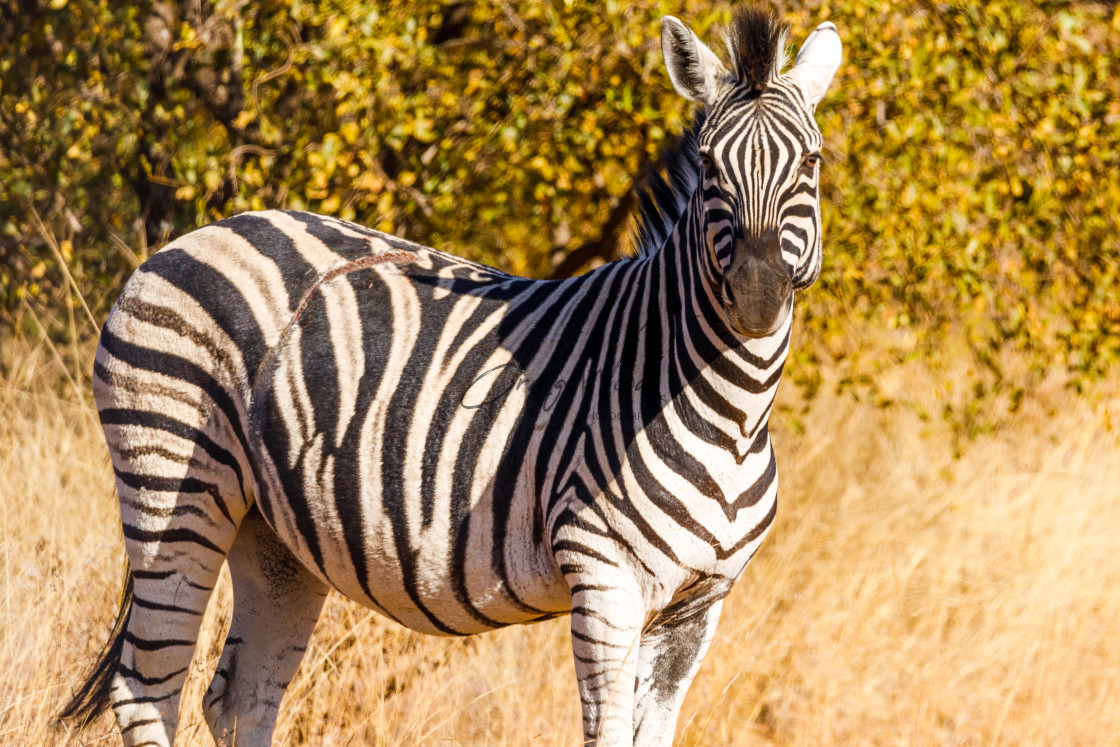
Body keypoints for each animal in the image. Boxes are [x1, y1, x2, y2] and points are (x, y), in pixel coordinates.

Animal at [56, 7, 837, 747]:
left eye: (811, 162)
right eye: (710, 166)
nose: (759, 295)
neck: (728, 413)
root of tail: (190, 236)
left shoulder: (699, 603)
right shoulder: (604, 576)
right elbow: (607, 730)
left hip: (273, 529)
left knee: (240, 697)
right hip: (171, 479)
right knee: (146, 689)